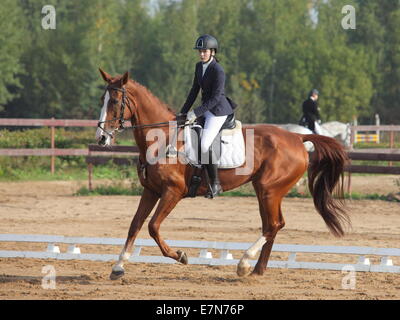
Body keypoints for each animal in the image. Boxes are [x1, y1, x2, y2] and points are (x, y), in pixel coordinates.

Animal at [95, 69, 348, 278]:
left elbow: (153, 227)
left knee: (273, 225)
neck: (161, 139)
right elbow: (135, 225)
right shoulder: (151, 190)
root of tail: (298, 137)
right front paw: (118, 267)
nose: (102, 138)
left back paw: (244, 264)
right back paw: (257, 270)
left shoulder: (172, 192)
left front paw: (181, 256)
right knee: (273, 225)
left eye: (115, 101)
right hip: (266, 191)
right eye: (102, 100)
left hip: (269, 189)